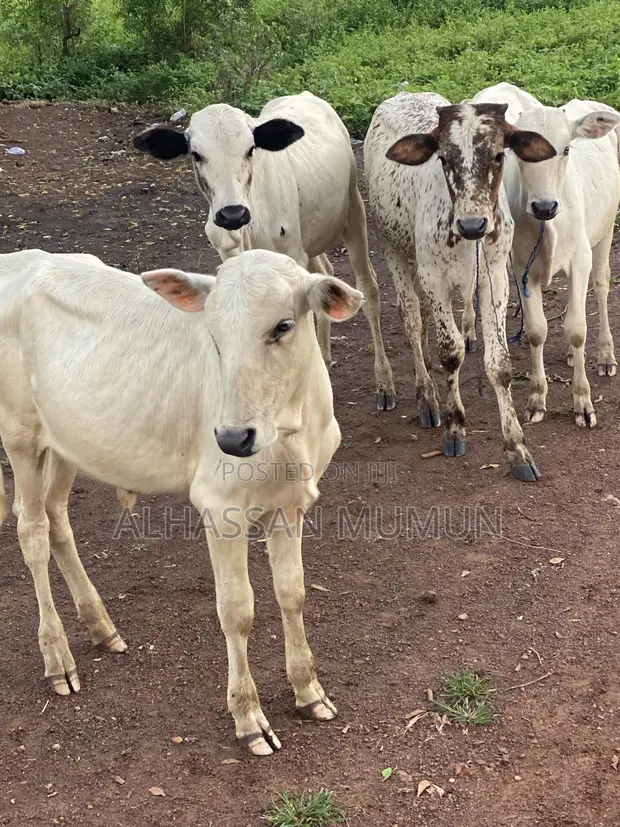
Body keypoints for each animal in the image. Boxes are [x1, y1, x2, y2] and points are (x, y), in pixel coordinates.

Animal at [0, 247, 364, 756]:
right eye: (213, 334)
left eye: (283, 326)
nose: (231, 437)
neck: (291, 432)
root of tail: (18, 258)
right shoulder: (221, 506)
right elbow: (237, 611)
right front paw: (248, 717)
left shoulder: (290, 506)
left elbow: (292, 593)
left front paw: (309, 692)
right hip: (19, 433)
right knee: (30, 530)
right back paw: (58, 658)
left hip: (66, 441)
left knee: (56, 518)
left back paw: (101, 626)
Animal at [131, 91, 396, 410]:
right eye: (196, 154)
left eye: (250, 149)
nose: (232, 214)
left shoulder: (292, 259)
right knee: (326, 273)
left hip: (353, 213)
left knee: (368, 288)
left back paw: (384, 384)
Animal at [364, 92, 556, 480]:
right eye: (443, 157)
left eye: (498, 154)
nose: (472, 225)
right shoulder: (433, 277)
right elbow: (449, 352)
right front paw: (455, 427)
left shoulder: (496, 277)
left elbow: (499, 364)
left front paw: (517, 447)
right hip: (392, 246)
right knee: (412, 316)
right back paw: (425, 396)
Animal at [473, 83, 620, 426]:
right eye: (520, 152)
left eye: (566, 149)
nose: (544, 206)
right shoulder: (521, 266)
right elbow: (537, 331)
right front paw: (537, 399)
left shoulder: (580, 259)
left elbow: (577, 330)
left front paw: (583, 402)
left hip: (606, 230)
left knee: (601, 286)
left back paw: (605, 354)